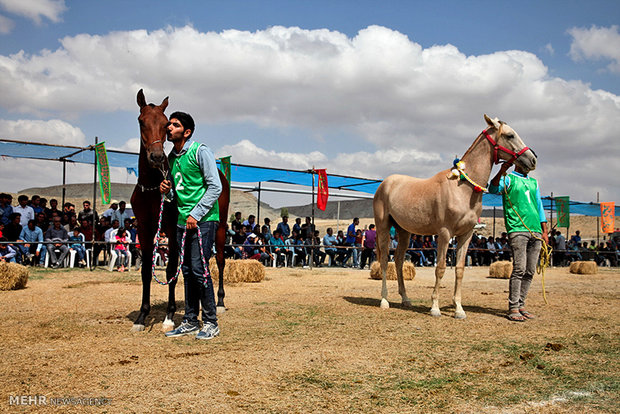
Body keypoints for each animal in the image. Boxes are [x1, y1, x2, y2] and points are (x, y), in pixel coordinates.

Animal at [372, 115, 536, 318]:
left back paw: (405, 299)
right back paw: (384, 300)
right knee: (384, 261)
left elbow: (459, 269)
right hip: (383, 227)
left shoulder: (466, 235)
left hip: (404, 232)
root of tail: (385, 184)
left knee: (399, 261)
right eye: (510, 135)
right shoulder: (444, 234)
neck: (463, 187)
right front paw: (435, 308)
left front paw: (459, 309)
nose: (532, 159)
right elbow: (441, 268)